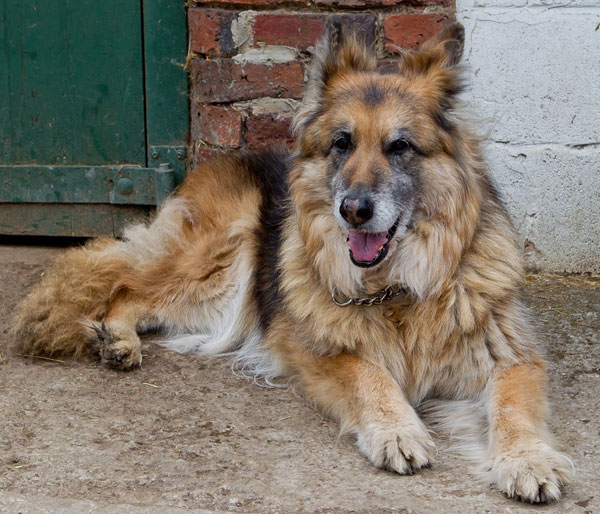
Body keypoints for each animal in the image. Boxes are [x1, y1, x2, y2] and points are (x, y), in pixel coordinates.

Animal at [9, 23, 572, 500]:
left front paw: (527, 460)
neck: (395, 289)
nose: (353, 210)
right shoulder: (315, 349)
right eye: (342, 143)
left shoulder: (510, 356)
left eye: (401, 147)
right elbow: (370, 376)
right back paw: (117, 337)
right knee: (127, 286)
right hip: (220, 266)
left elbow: (515, 406)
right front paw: (397, 430)